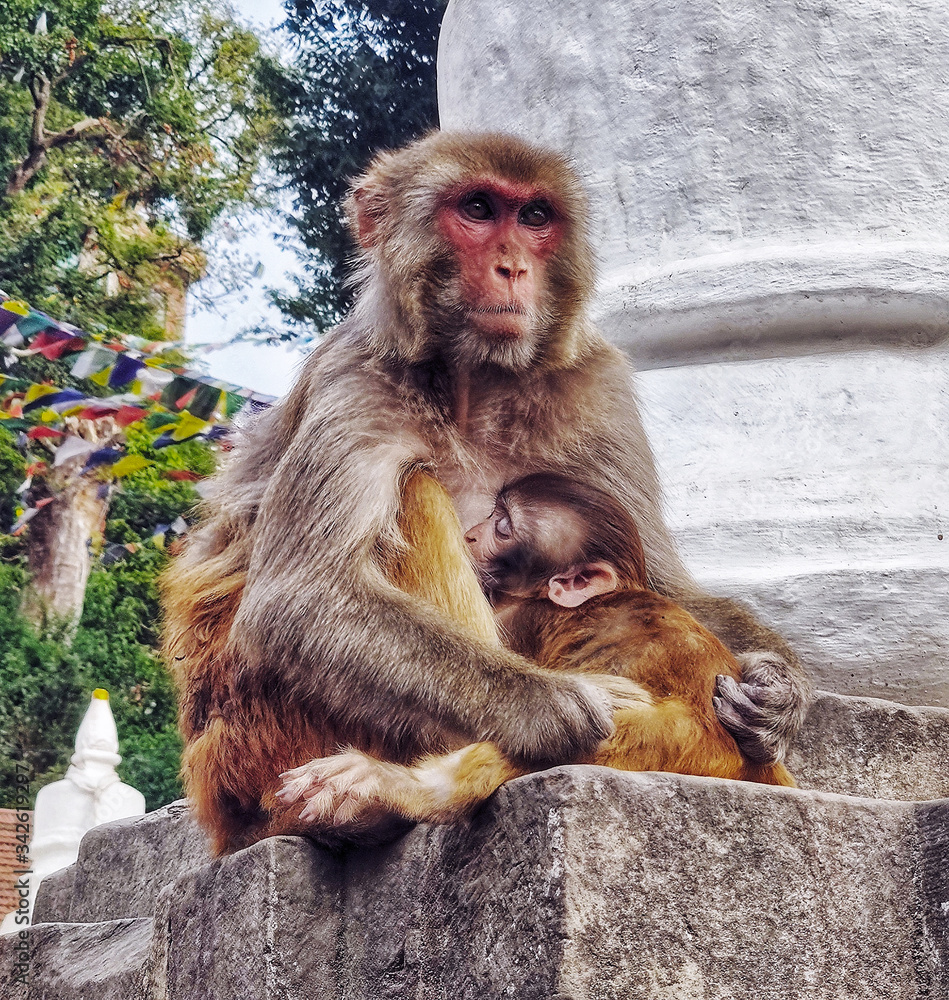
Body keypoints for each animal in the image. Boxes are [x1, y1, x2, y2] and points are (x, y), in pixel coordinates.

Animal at [280, 476, 792, 828]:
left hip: (668, 742)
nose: (470, 534)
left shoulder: (517, 613)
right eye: (492, 514)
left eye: (503, 528)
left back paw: (398, 789)